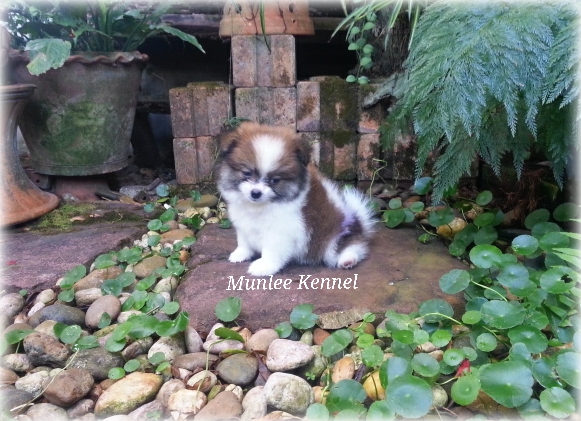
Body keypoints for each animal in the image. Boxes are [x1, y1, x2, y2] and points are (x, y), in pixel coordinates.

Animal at [215, 122, 376, 276]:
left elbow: (272, 251)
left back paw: (347, 260)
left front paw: (264, 266)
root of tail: (358, 222)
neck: (259, 207)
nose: (256, 193)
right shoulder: (243, 226)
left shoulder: (281, 232)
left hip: (334, 237)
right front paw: (240, 254)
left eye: (275, 180)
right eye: (246, 173)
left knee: (350, 247)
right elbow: (244, 242)